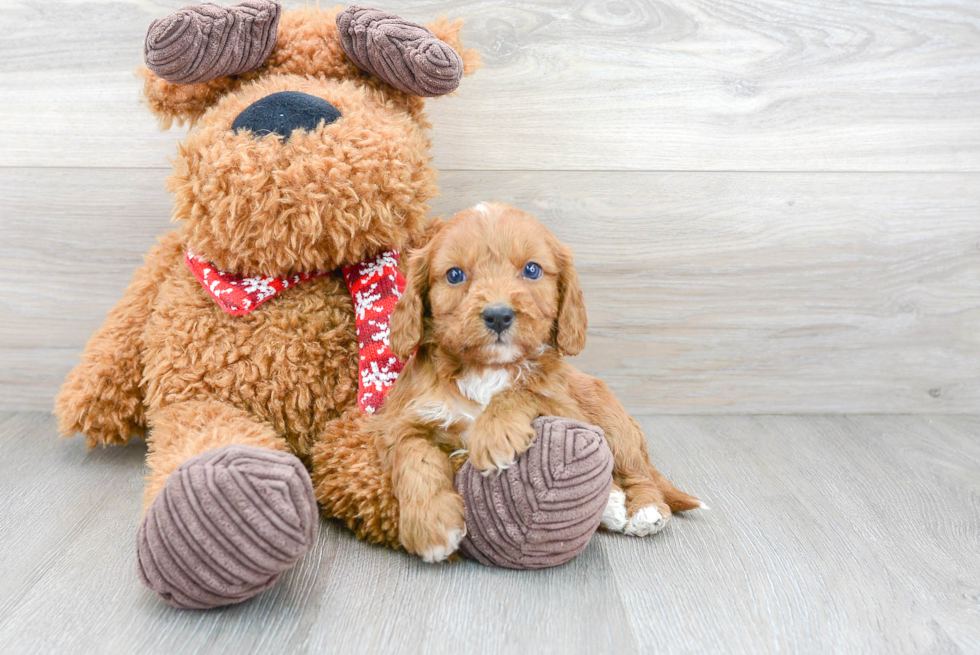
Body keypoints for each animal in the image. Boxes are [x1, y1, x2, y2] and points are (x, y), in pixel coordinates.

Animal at [372, 202, 700, 560]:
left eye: (532, 270)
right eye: (455, 275)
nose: (498, 315)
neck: (487, 370)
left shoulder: (566, 408)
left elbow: (522, 392)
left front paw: (494, 434)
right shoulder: (403, 421)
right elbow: (415, 458)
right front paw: (431, 525)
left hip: (614, 423)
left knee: (638, 473)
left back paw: (644, 510)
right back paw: (613, 507)